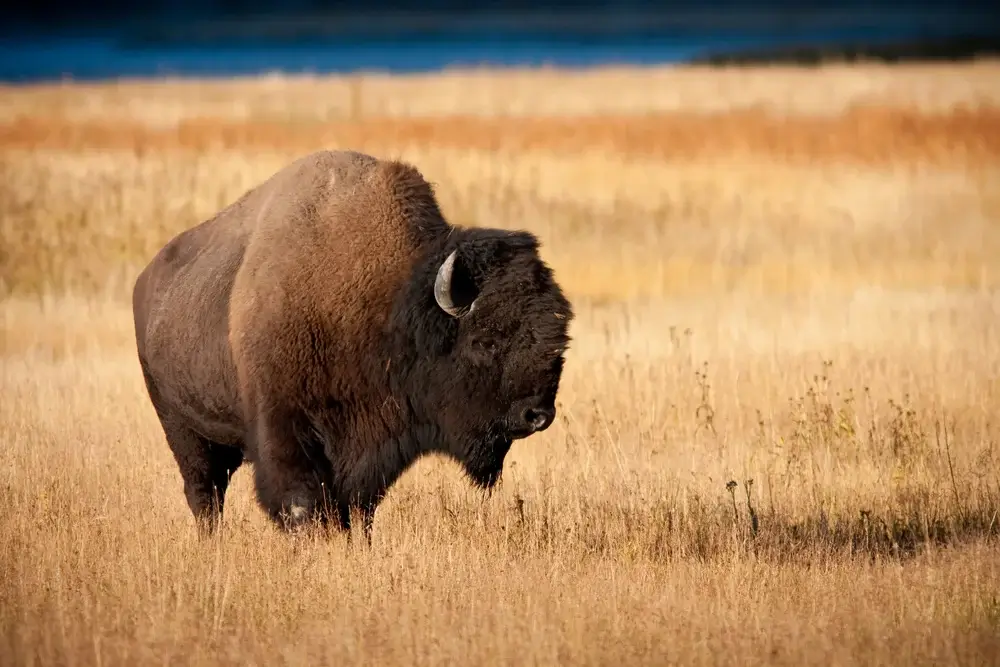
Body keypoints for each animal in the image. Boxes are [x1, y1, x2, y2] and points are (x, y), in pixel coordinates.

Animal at [133, 149, 576, 540]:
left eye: (559, 341)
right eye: (484, 341)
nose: (537, 415)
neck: (387, 302)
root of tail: (146, 279)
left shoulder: (371, 449)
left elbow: (359, 507)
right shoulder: (284, 429)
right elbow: (301, 502)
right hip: (182, 428)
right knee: (204, 493)